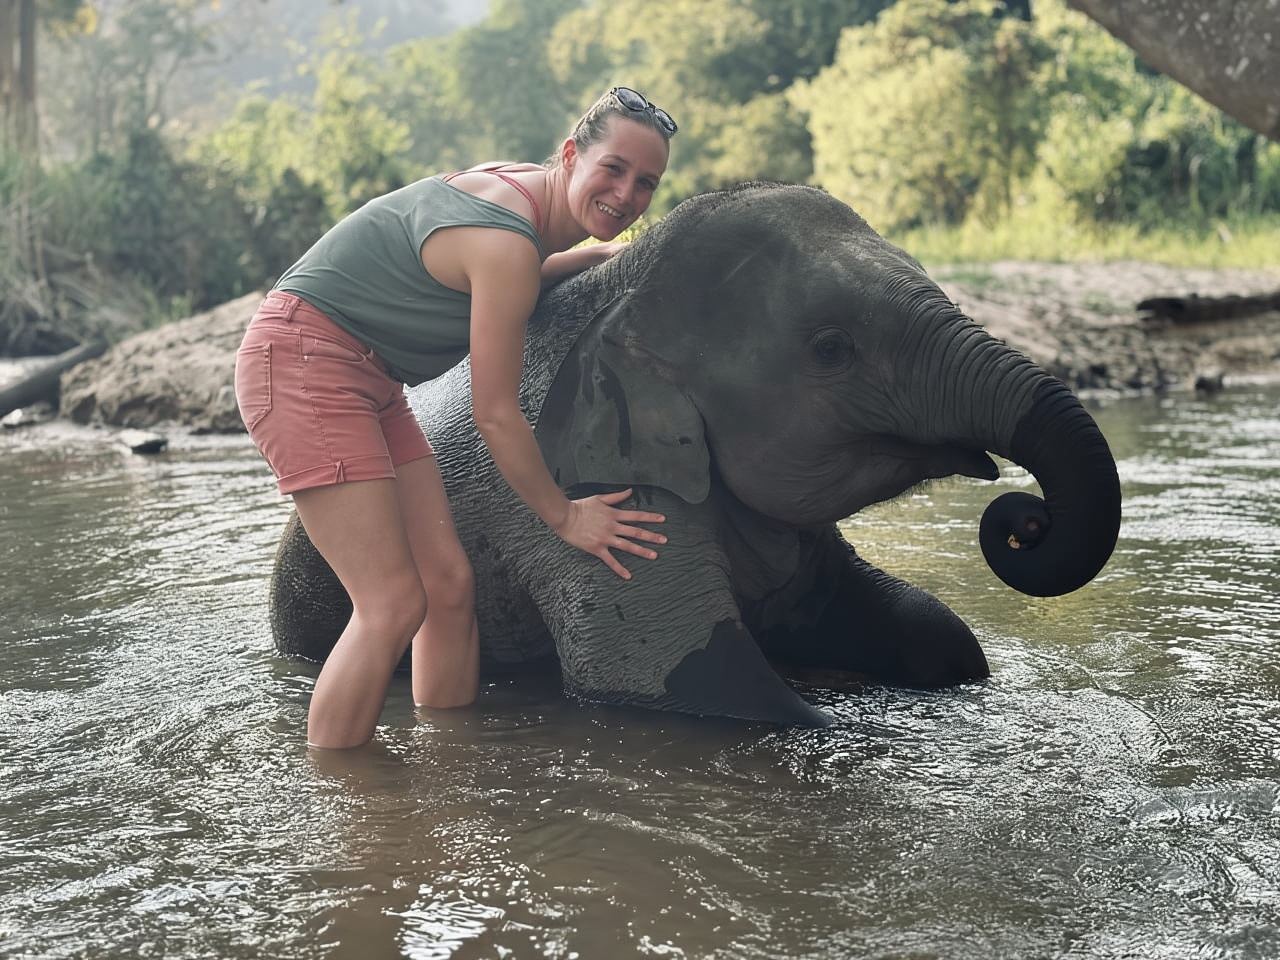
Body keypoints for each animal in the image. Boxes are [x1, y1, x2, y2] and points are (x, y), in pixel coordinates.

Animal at [268, 182, 1121, 727]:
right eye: (832, 348)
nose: (1022, 519)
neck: (625, 293)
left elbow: (938, 633)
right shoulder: (595, 501)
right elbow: (682, 679)